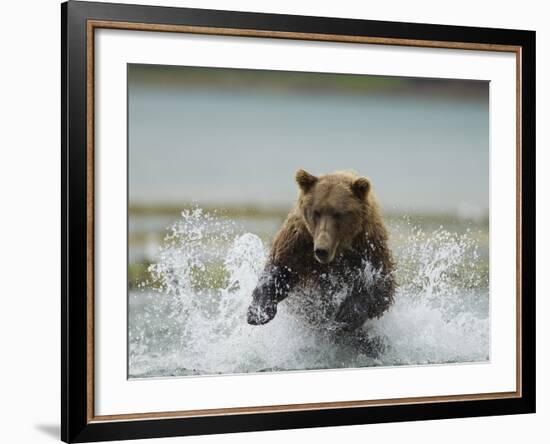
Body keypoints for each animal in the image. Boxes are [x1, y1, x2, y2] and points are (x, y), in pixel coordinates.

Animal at [247, 168, 396, 332]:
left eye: (338, 214)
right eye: (316, 212)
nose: (321, 250)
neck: (338, 250)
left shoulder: (368, 247)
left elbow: (380, 288)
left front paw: (346, 316)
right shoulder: (299, 243)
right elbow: (280, 269)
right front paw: (257, 312)